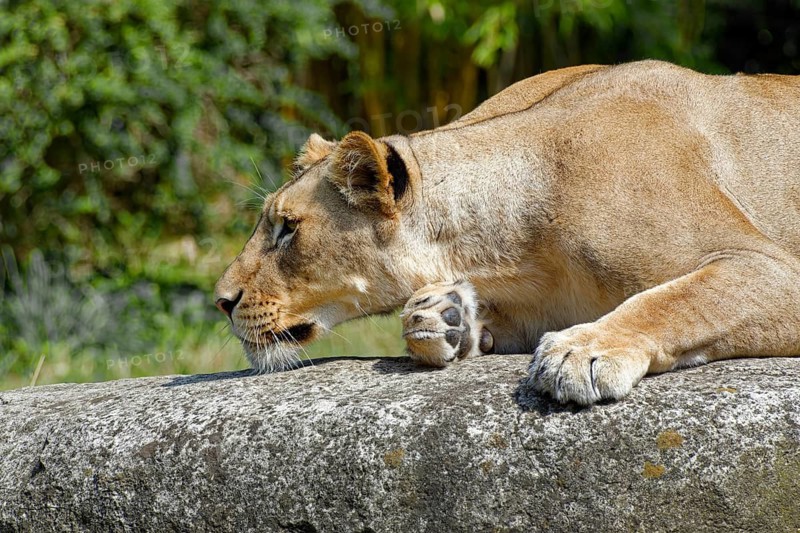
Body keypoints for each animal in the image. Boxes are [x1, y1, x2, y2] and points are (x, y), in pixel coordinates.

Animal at [214, 60, 800, 405]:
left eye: (287, 229)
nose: (221, 300)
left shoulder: (775, 268)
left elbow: (676, 299)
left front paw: (583, 351)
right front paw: (443, 319)